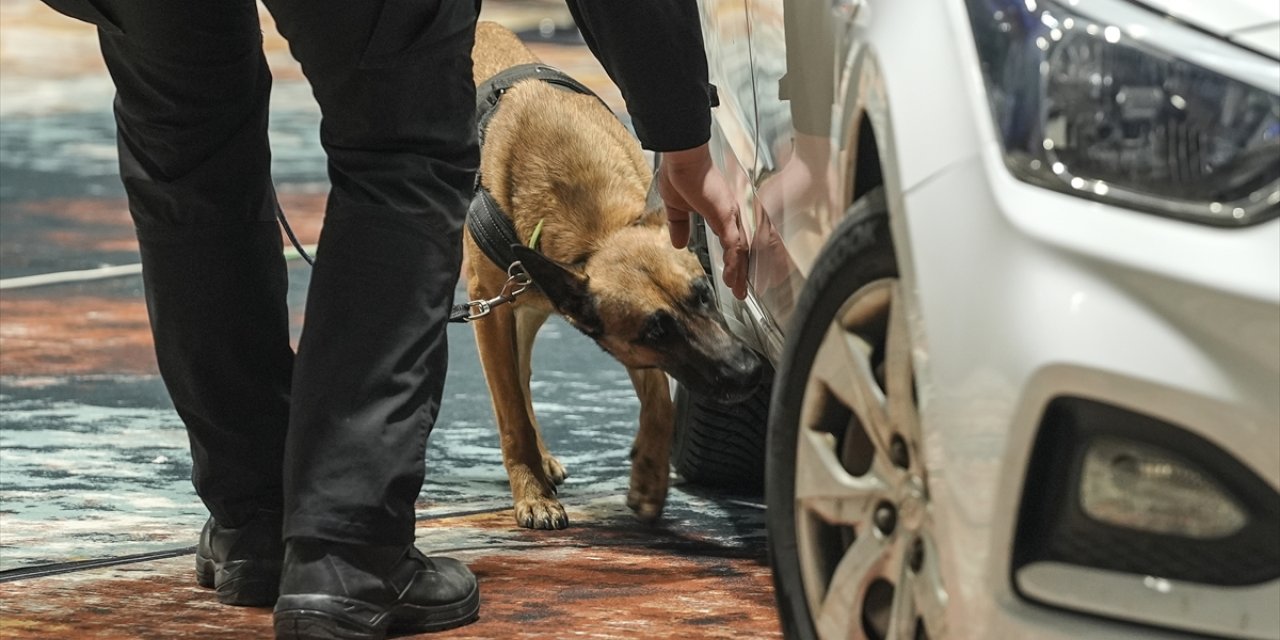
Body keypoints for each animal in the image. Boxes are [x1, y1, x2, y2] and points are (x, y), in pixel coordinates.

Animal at [468, 22, 757, 529]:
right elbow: (510, 415)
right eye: (657, 331)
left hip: (524, 307)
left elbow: (659, 397)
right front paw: (532, 492)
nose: (748, 373)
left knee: (522, 375)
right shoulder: (488, 309)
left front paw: (650, 474)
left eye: (704, 294)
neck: (592, 227)